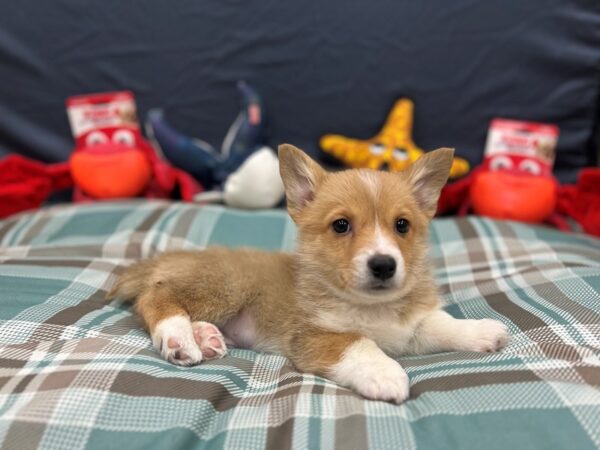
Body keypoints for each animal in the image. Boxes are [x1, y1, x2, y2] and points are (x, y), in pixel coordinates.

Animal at [106, 145, 506, 404]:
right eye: (341, 225)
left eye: (402, 225)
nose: (383, 264)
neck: (371, 309)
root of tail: (166, 259)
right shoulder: (314, 336)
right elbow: (359, 344)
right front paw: (386, 373)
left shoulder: (409, 328)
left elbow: (438, 323)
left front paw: (481, 331)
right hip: (225, 287)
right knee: (156, 295)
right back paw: (178, 338)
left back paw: (205, 336)